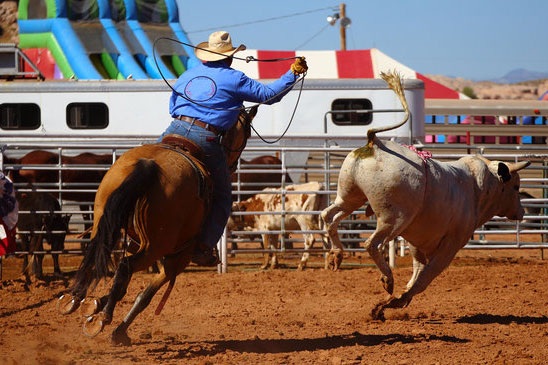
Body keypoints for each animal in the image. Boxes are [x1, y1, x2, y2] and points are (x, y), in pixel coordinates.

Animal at [56, 106, 258, 344]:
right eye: (247, 134)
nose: (233, 166)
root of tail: (149, 166)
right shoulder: (177, 259)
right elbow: (145, 296)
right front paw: (118, 330)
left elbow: (125, 289)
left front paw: (94, 305)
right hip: (156, 247)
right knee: (125, 266)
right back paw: (103, 318)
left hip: (105, 223)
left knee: (96, 253)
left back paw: (73, 298)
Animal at [318, 70, 528, 318]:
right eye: (516, 187)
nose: (522, 212)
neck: (478, 189)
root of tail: (375, 143)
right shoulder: (451, 244)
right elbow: (425, 277)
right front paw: (395, 300)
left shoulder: (417, 242)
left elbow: (418, 271)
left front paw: (395, 300)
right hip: (393, 219)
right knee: (372, 244)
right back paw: (387, 279)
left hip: (350, 196)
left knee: (329, 216)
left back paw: (336, 255)